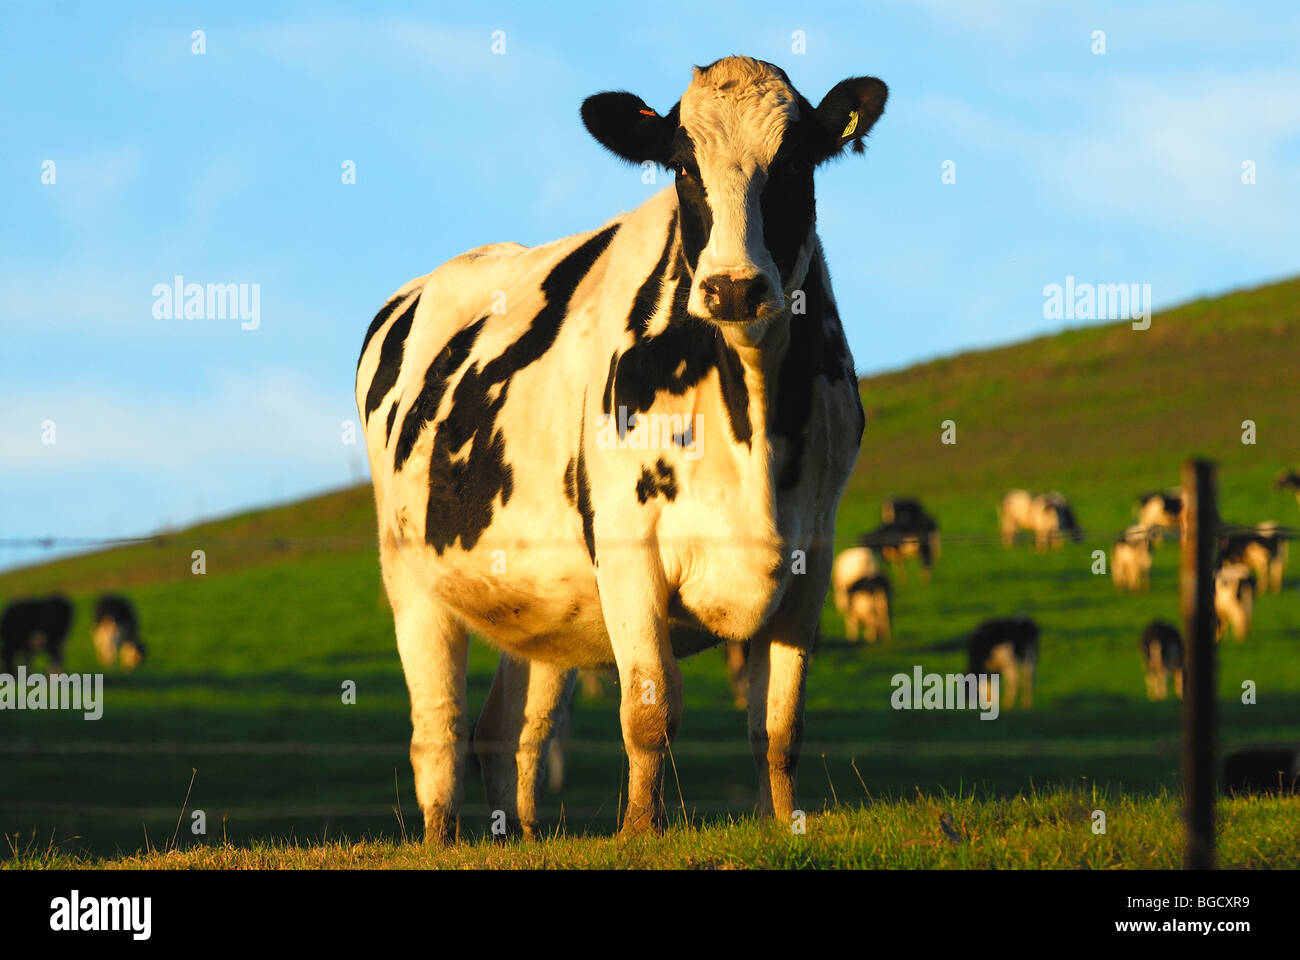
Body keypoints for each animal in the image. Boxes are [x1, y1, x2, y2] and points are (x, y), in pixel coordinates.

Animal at [353, 57, 883, 837]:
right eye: (683, 167)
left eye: (793, 163)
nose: (732, 288)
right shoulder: (631, 545)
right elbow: (650, 708)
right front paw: (639, 831)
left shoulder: (811, 551)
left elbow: (779, 727)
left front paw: (782, 825)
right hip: (412, 577)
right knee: (439, 728)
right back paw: (443, 839)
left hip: (546, 602)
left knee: (510, 730)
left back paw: (523, 837)